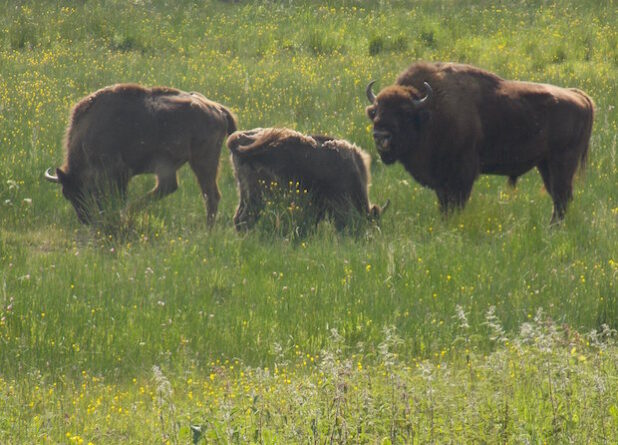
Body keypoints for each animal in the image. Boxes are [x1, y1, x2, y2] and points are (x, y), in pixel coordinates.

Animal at [43, 82, 236, 225]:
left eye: (81, 190)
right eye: (66, 194)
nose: (85, 219)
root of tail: (217, 108)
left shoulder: (117, 173)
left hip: (201, 161)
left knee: (209, 195)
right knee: (173, 187)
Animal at [366, 60, 592, 224]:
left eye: (404, 112)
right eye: (376, 110)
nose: (380, 135)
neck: (430, 111)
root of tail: (579, 96)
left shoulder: (462, 174)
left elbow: (456, 203)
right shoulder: (442, 181)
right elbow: (444, 205)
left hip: (562, 161)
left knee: (562, 197)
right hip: (545, 164)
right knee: (558, 197)